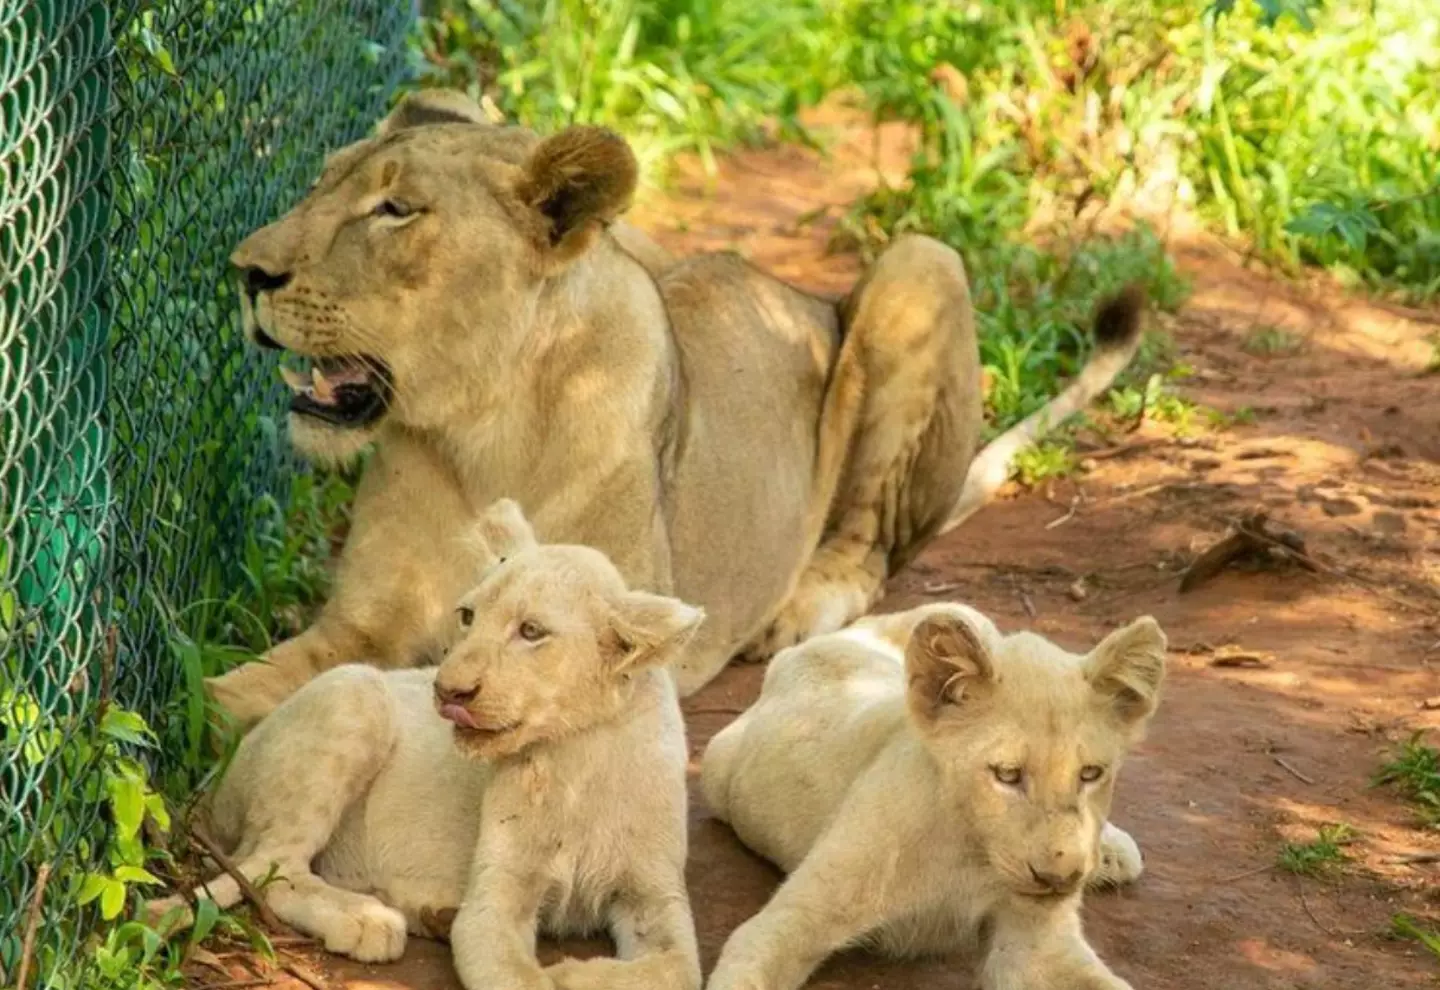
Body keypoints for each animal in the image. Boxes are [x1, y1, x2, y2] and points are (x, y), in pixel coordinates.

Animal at [205, 91, 1146, 728]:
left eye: (395, 210)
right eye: (321, 184)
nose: (244, 270)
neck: (483, 431)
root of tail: (798, 295)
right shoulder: (358, 628)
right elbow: (219, 702)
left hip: (921, 261)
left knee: (874, 543)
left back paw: (799, 607)